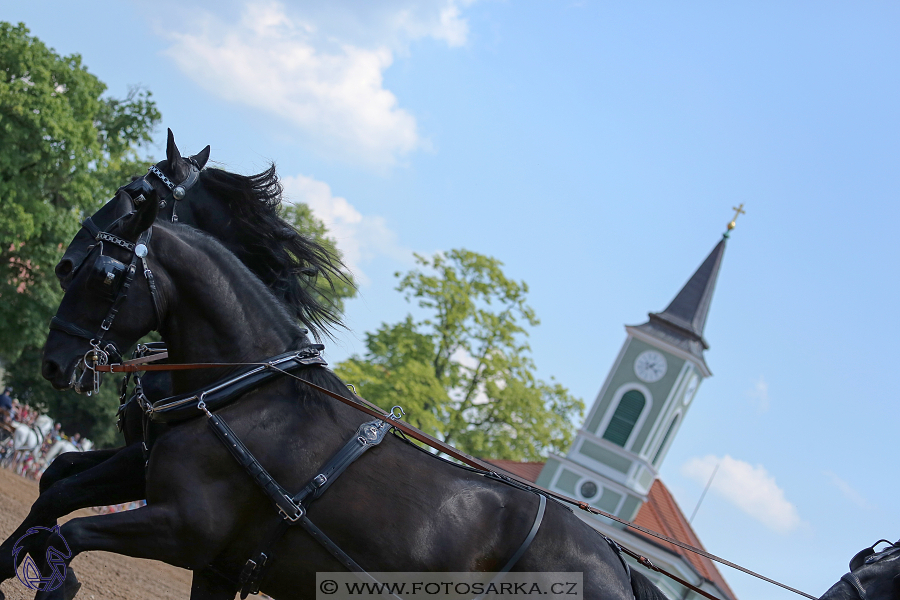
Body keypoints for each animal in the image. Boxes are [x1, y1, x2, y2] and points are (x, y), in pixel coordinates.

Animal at [37, 193, 660, 600]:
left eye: (105, 273)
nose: (53, 362)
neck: (247, 395)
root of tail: (618, 567)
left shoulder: (178, 529)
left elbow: (66, 532)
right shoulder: (209, 561)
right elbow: (54, 489)